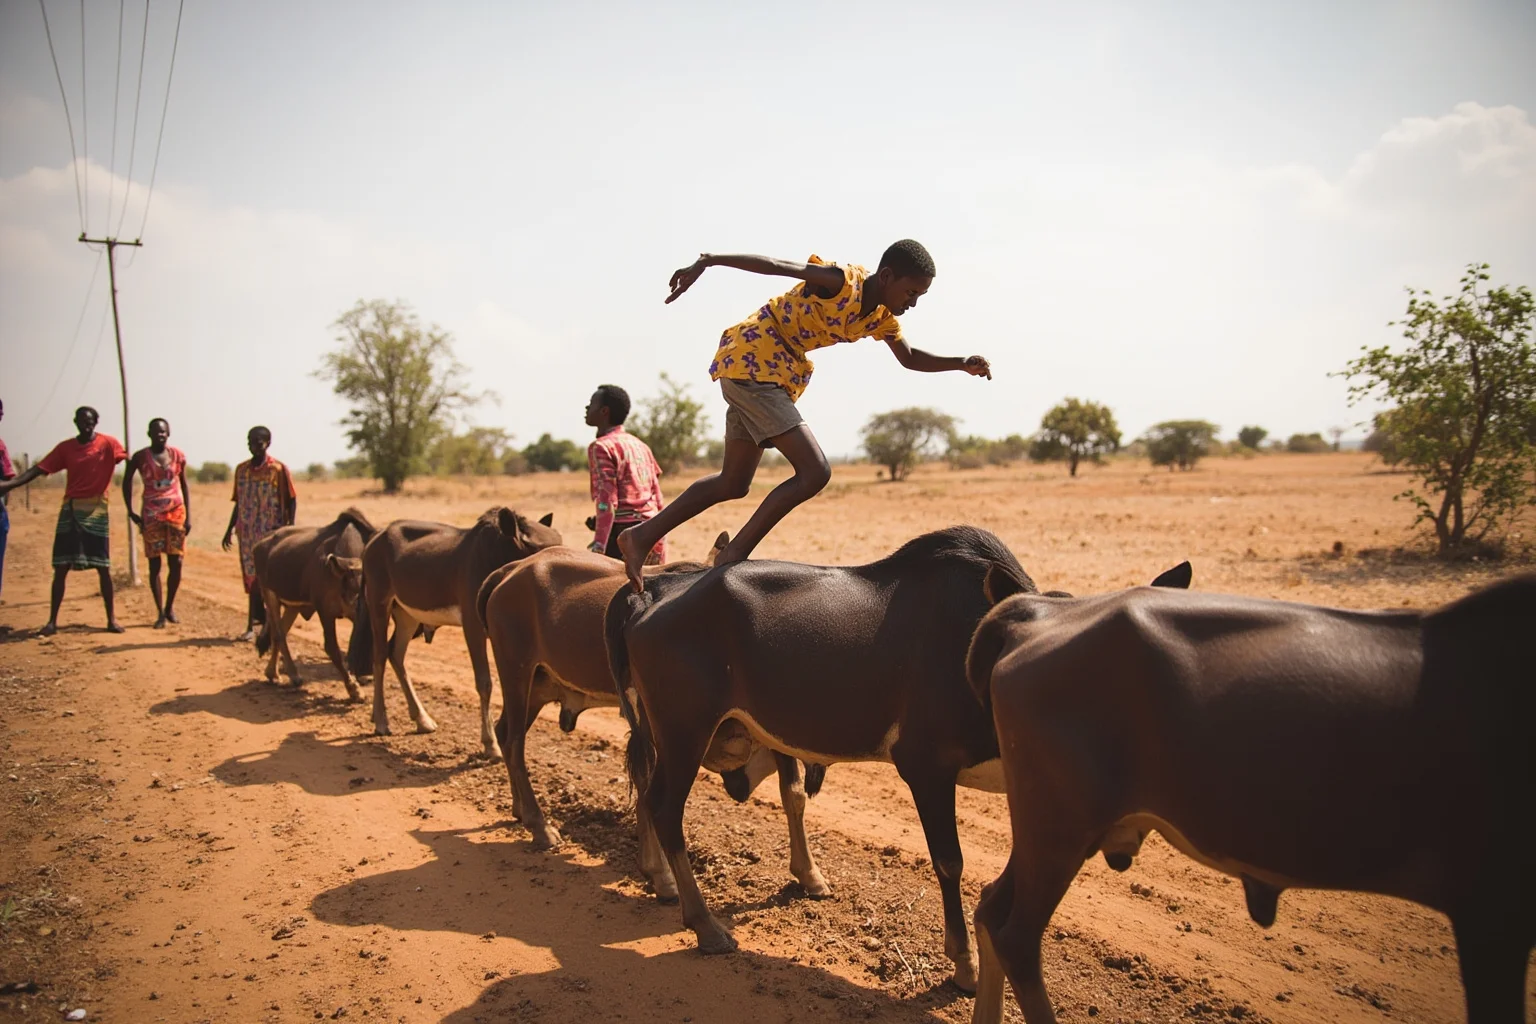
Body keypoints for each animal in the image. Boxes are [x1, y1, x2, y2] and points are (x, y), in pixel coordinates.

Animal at [250, 508, 377, 697]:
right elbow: (332, 649)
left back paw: (273, 672)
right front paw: (353, 688)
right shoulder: (325, 611)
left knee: (279, 633)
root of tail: (259, 545)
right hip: (269, 594)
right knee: (279, 634)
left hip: (292, 606)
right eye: (359, 590)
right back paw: (292, 675)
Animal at [346, 507, 561, 757]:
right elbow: (484, 682)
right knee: (380, 656)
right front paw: (490, 743)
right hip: (379, 601)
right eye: (538, 549)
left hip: (407, 615)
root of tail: (375, 539)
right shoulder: (473, 626)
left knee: (395, 654)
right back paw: (381, 720)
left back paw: (422, 719)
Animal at [604, 526, 1038, 990]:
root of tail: (653, 591)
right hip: (683, 731)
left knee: (648, 789)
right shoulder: (927, 767)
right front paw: (965, 963)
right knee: (665, 808)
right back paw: (705, 924)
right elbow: (949, 862)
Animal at [964, 570, 1535, 1024]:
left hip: (1057, 829)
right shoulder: (1489, 909)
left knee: (992, 909)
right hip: (1057, 827)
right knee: (1017, 938)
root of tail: (1039, 615)